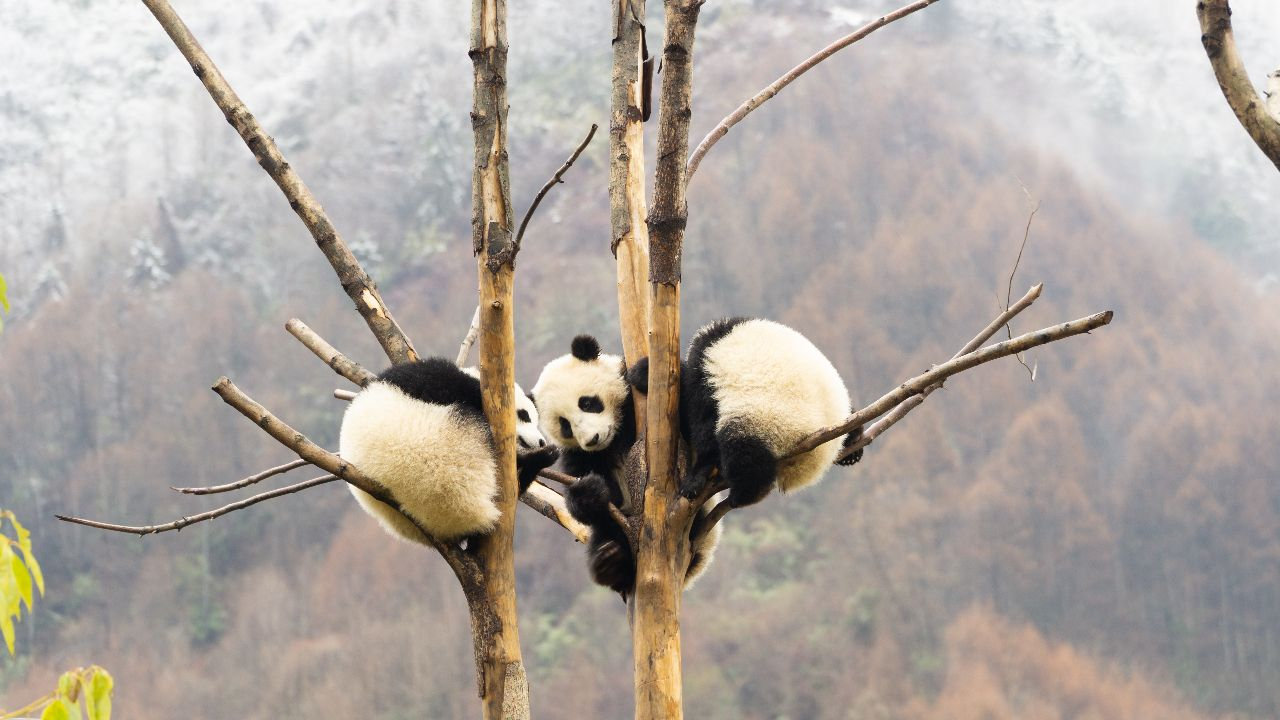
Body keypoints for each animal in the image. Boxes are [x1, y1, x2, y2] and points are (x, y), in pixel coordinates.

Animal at [529, 333, 721, 591]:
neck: (613, 439)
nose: (593, 439)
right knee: (607, 530)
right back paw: (610, 563)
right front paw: (588, 493)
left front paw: (645, 373)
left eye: (587, 403)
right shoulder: (579, 455)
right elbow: (591, 499)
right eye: (565, 425)